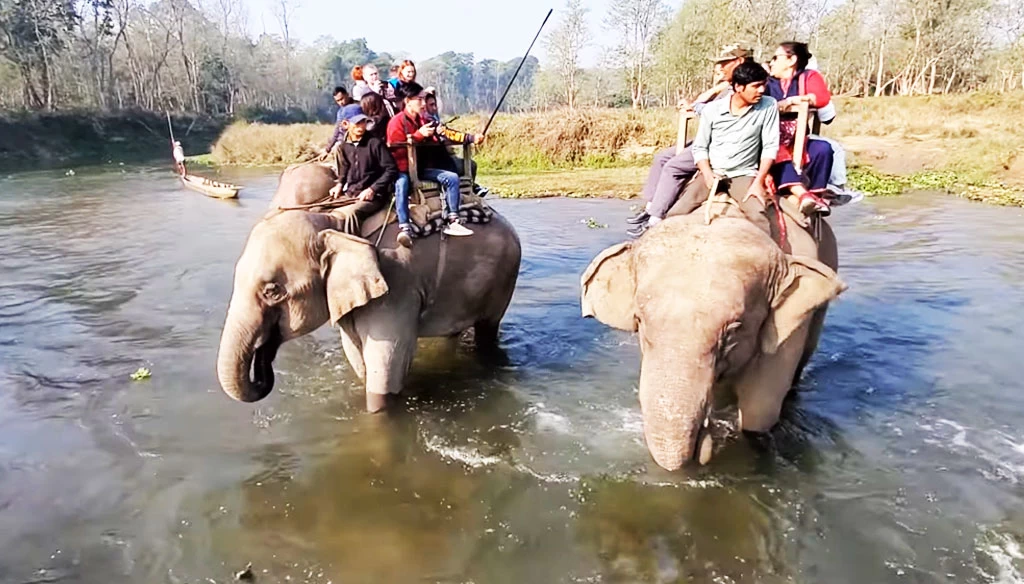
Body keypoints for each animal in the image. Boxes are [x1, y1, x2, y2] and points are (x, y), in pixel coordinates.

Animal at [216, 203, 520, 409]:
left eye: (272, 291)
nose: (265, 354)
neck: (337, 224)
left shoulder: (396, 285)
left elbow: (385, 367)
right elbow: (358, 357)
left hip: (504, 278)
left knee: (487, 330)